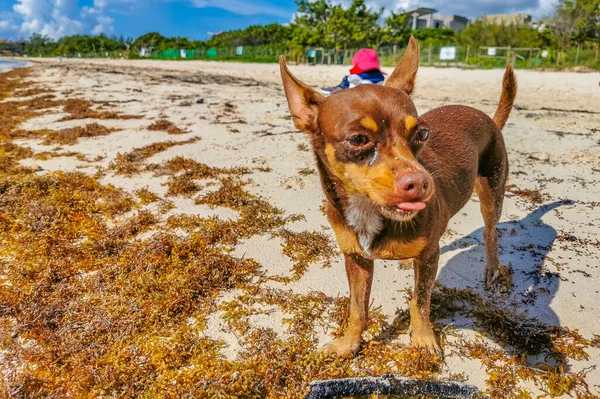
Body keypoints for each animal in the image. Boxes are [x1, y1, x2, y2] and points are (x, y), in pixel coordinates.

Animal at [278, 36, 516, 358]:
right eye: (358, 140)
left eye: (422, 134)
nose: (421, 182)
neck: (368, 211)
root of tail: (489, 118)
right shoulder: (357, 260)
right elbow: (357, 309)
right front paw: (349, 344)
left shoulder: (428, 258)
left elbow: (420, 302)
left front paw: (424, 339)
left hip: (492, 192)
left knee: (491, 232)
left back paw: (492, 269)